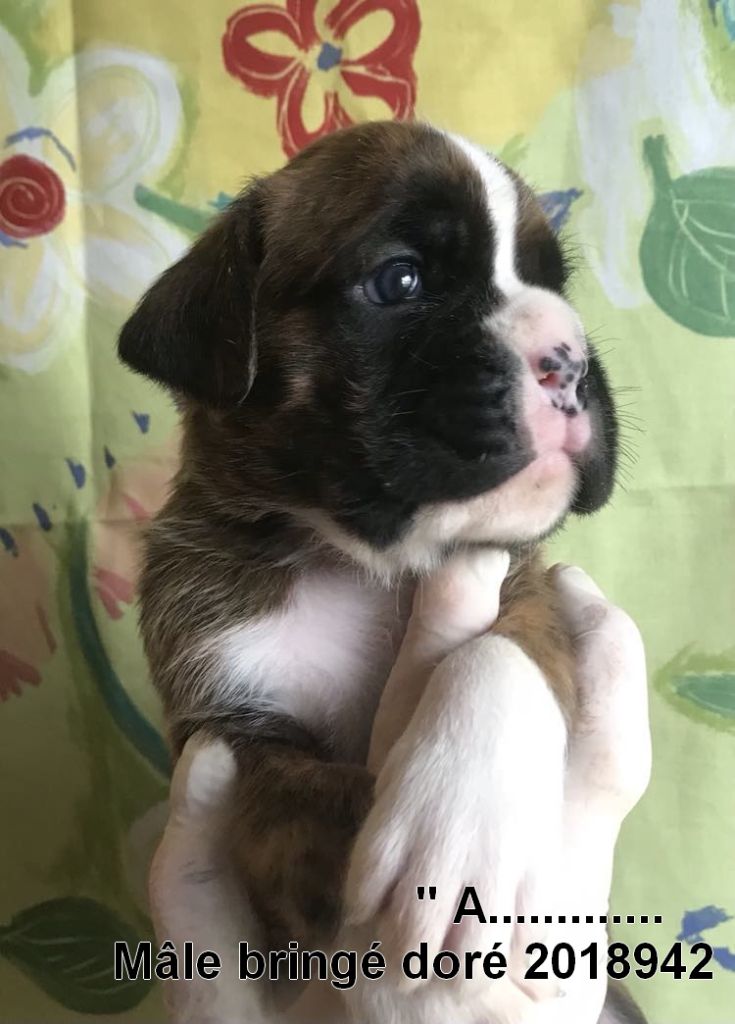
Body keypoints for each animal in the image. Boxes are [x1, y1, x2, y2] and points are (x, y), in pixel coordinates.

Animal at [119, 120, 646, 1023]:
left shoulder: (522, 576)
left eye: (551, 282)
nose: (570, 359)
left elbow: (502, 647)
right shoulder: (230, 727)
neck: (359, 563)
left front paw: (458, 814)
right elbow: (309, 798)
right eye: (400, 280)